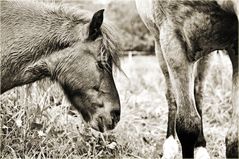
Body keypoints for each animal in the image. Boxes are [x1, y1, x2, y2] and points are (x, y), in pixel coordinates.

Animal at [135, 0, 238, 158]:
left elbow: (234, 138)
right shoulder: (174, 40)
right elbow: (187, 127)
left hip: (206, 55)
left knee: (198, 93)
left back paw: (201, 147)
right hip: (160, 45)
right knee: (171, 95)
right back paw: (170, 145)